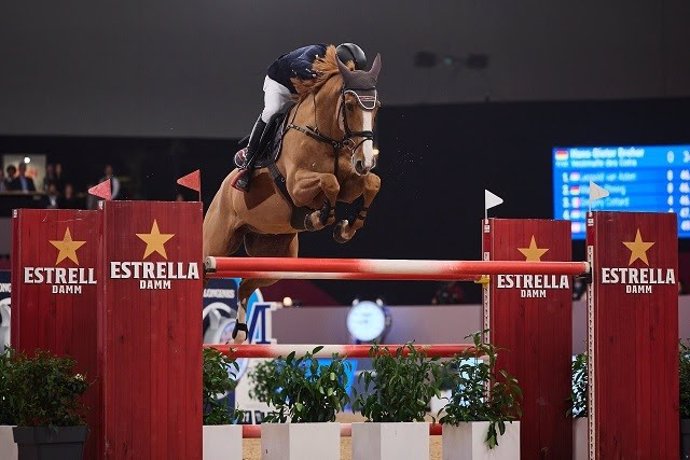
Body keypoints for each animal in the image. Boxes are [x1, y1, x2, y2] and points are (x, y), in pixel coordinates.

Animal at [202, 46, 384, 342]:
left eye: (376, 107)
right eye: (349, 105)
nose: (365, 161)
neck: (327, 134)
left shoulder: (351, 183)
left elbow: (371, 184)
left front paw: (346, 227)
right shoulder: (298, 187)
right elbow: (330, 183)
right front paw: (321, 218)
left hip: (275, 260)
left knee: (245, 287)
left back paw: (240, 332)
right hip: (216, 244)